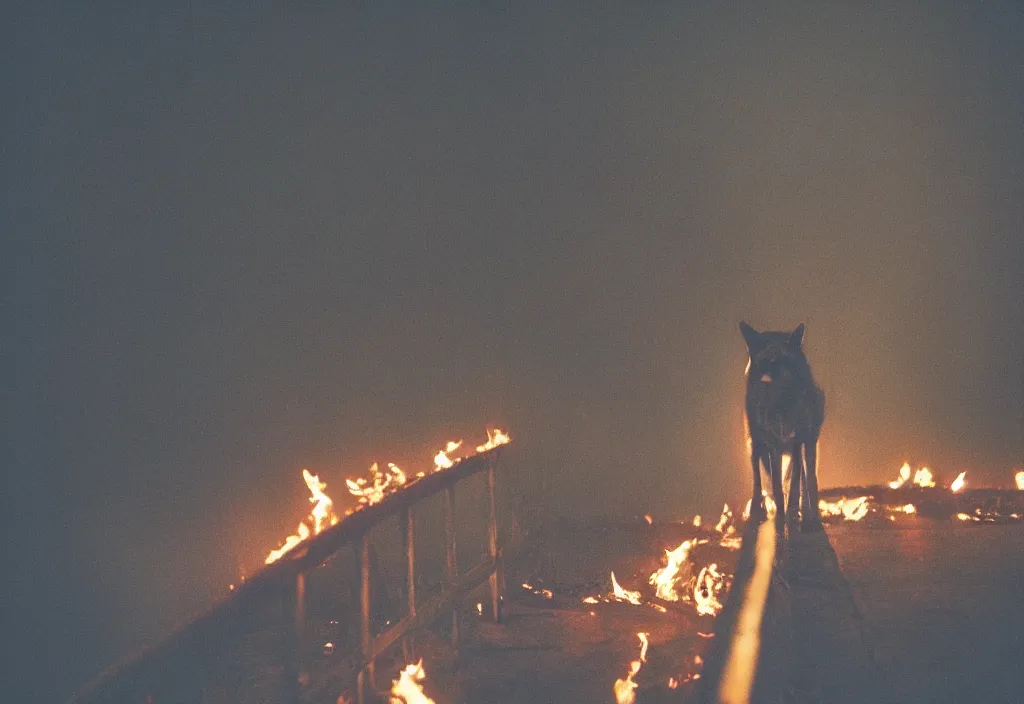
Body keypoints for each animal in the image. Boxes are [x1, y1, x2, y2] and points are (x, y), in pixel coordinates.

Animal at [741, 321, 819, 532]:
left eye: (782, 362)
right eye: (763, 364)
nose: (765, 380)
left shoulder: (797, 443)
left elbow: (794, 486)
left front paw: (793, 517)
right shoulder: (773, 446)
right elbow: (776, 487)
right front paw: (780, 520)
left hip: (807, 446)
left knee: (807, 481)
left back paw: (809, 516)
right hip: (754, 445)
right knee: (759, 482)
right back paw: (759, 511)